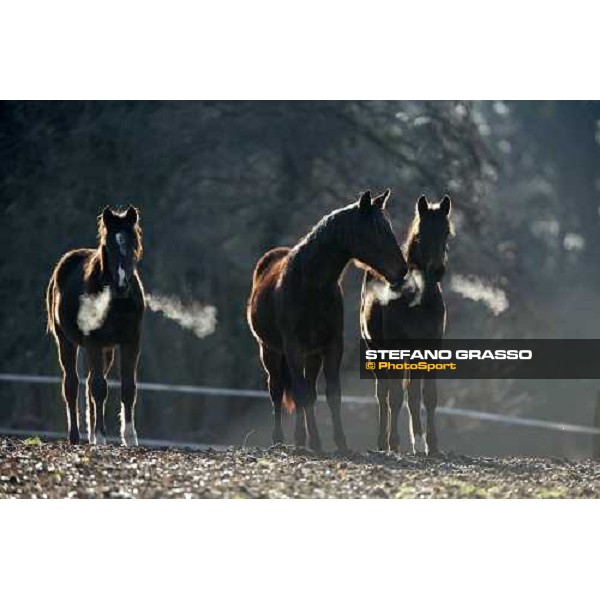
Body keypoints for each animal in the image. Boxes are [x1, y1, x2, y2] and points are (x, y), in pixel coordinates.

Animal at [45, 206, 145, 446]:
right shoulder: (93, 341)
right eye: (110, 246)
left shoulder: (131, 341)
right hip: (67, 342)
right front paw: (101, 436)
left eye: (133, 244)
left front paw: (130, 437)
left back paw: (90, 436)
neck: (117, 303)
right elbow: (99, 388)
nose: (122, 286)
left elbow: (128, 388)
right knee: (72, 385)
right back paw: (76, 437)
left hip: (106, 350)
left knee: (89, 383)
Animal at [247, 190, 408, 452]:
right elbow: (300, 394)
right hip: (270, 350)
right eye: (374, 231)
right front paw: (312, 442)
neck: (310, 285)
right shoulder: (293, 347)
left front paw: (339, 442)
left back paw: (306, 440)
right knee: (278, 389)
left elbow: (332, 394)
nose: (401, 271)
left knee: (308, 390)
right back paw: (280, 439)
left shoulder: (331, 345)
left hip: (311, 355)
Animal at [360, 196, 450, 454]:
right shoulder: (396, 348)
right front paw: (394, 443)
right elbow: (395, 396)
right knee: (384, 394)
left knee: (412, 394)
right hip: (377, 351)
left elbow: (428, 396)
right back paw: (384, 443)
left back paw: (417, 441)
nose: (436, 271)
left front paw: (432, 445)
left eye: (447, 232)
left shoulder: (431, 347)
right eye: (420, 234)